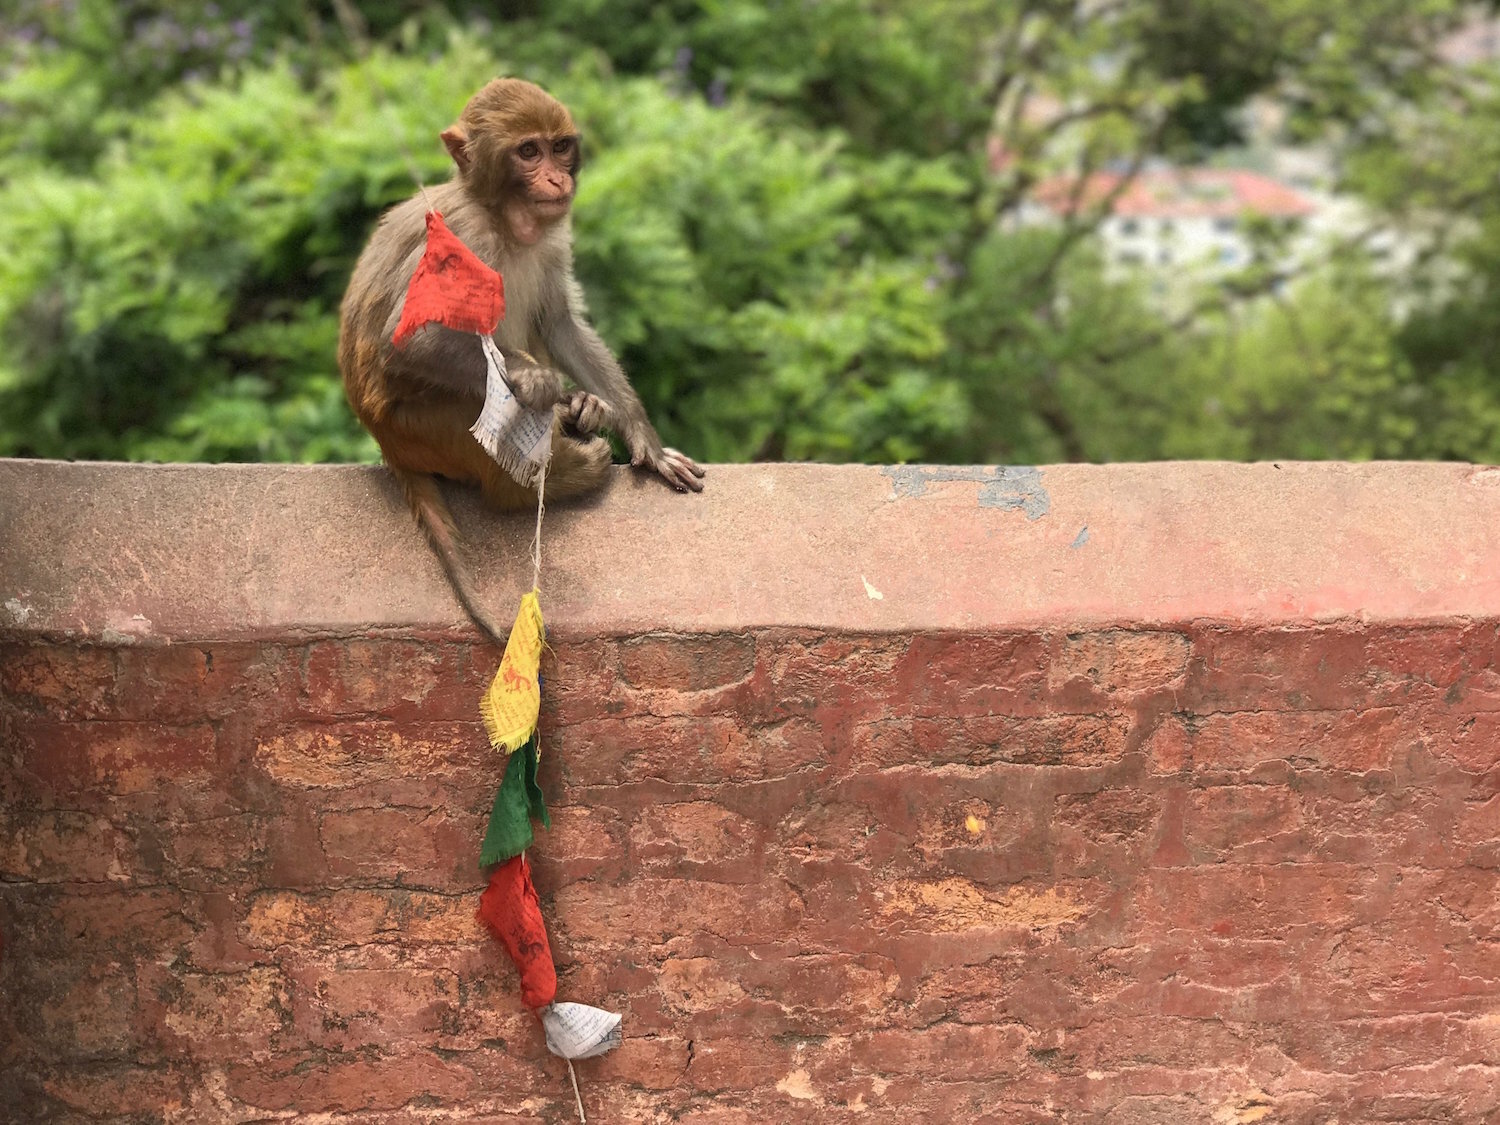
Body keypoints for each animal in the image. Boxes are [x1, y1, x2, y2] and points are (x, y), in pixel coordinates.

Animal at [340, 77, 702, 642]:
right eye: (528, 152)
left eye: (559, 146)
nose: (556, 177)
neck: (504, 219)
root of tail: (384, 443)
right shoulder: (465, 235)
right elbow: (403, 342)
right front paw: (537, 381)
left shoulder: (552, 238)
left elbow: (559, 322)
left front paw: (646, 440)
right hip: (421, 430)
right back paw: (540, 475)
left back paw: (582, 412)